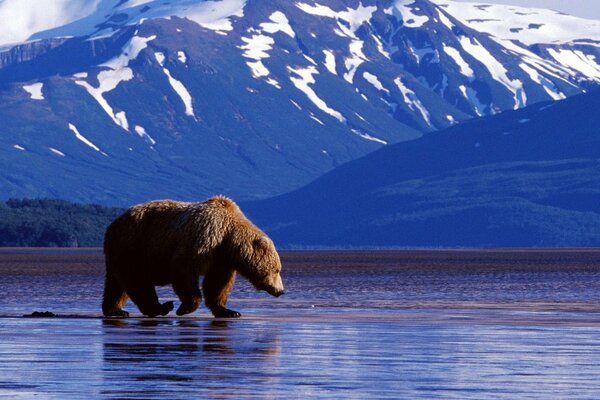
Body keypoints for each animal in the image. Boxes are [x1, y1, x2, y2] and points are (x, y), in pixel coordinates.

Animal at [102, 195, 284, 318]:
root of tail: (112, 225)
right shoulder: (203, 240)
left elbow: (217, 283)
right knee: (137, 279)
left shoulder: (221, 259)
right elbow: (183, 270)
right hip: (135, 246)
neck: (228, 237)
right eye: (277, 269)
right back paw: (161, 307)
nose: (281, 291)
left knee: (116, 284)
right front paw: (185, 307)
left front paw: (228, 311)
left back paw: (115, 310)